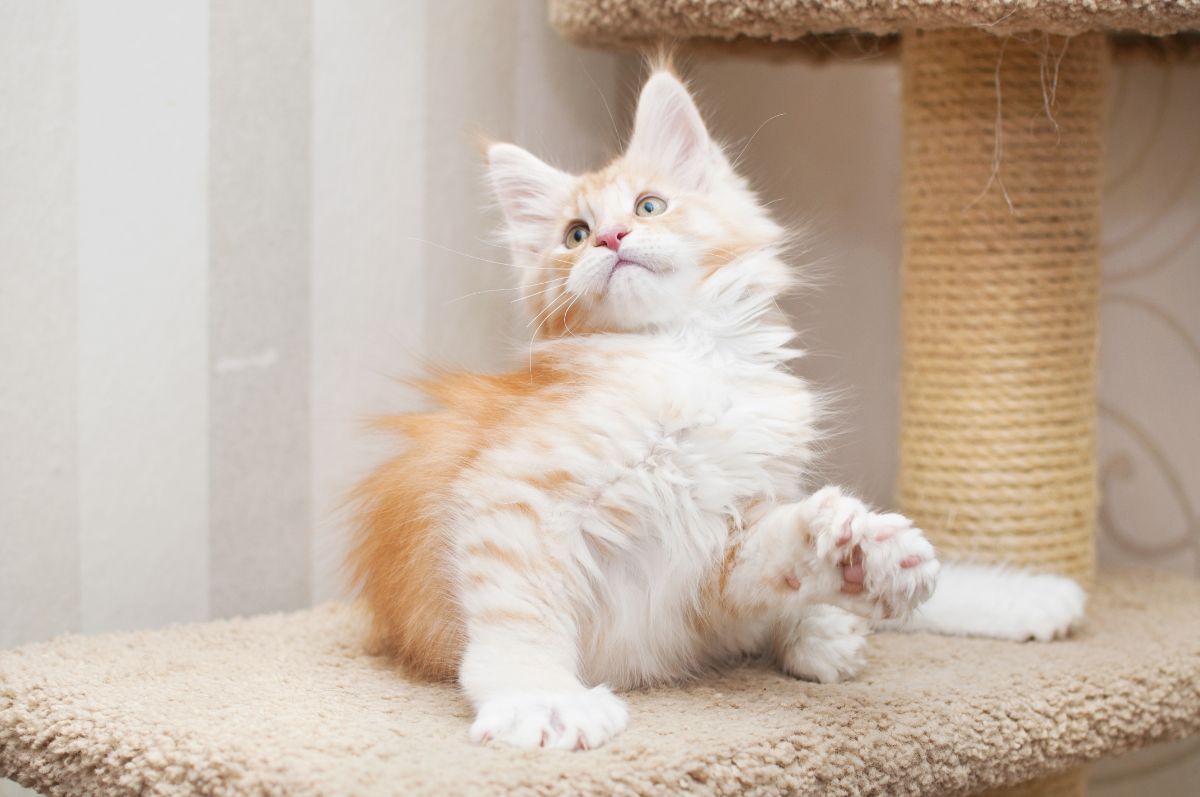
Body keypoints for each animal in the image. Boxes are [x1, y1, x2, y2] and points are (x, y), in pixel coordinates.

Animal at [348, 65, 1089, 748]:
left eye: (648, 207)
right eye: (575, 235)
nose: (612, 239)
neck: (694, 354)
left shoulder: (721, 545)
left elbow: (773, 554)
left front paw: (851, 551)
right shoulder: (519, 495)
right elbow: (519, 612)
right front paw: (541, 699)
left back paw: (977, 593)